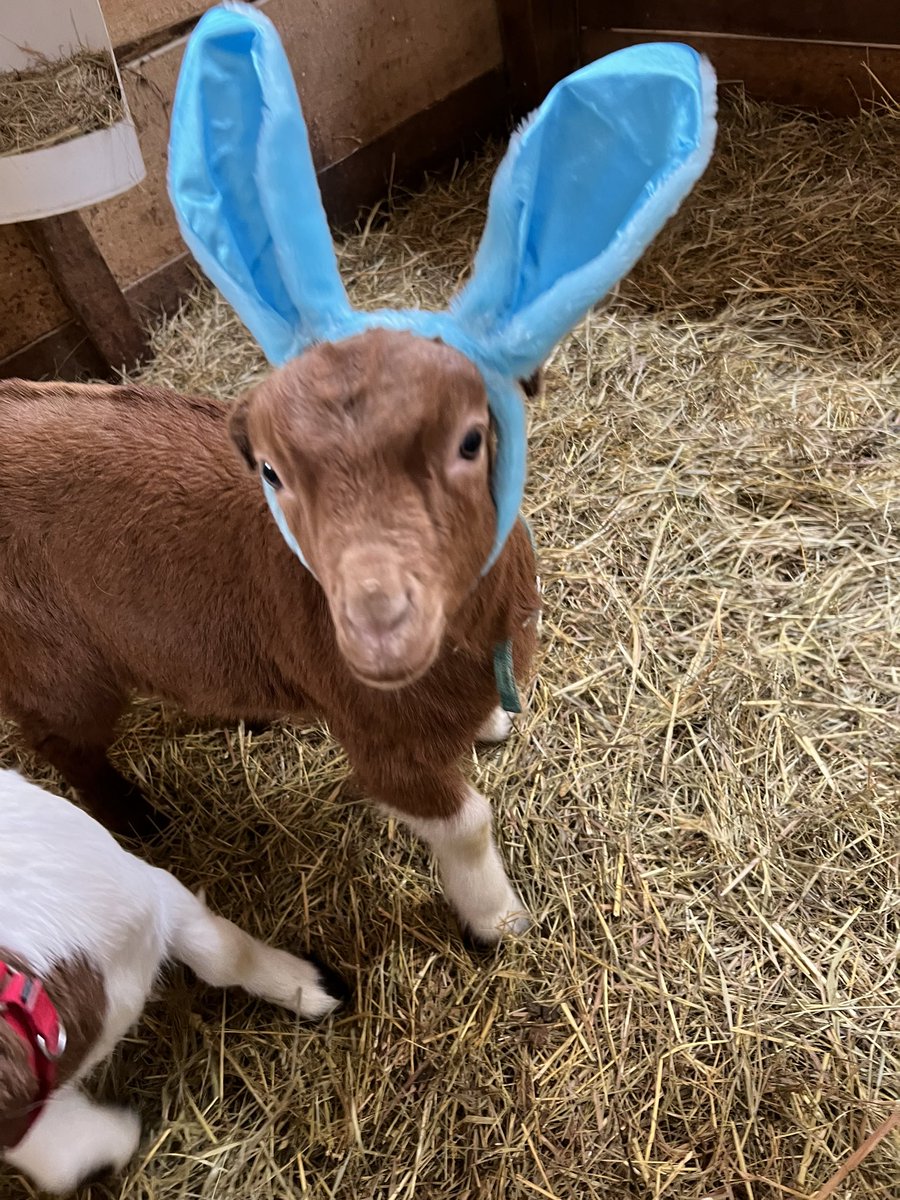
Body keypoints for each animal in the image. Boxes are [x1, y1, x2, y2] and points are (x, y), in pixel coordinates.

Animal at [0, 329, 540, 944]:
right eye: (274, 472)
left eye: (470, 439)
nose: (376, 610)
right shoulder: (385, 741)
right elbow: (467, 824)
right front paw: (499, 920)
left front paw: (490, 725)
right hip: (57, 667)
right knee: (62, 744)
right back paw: (141, 820)